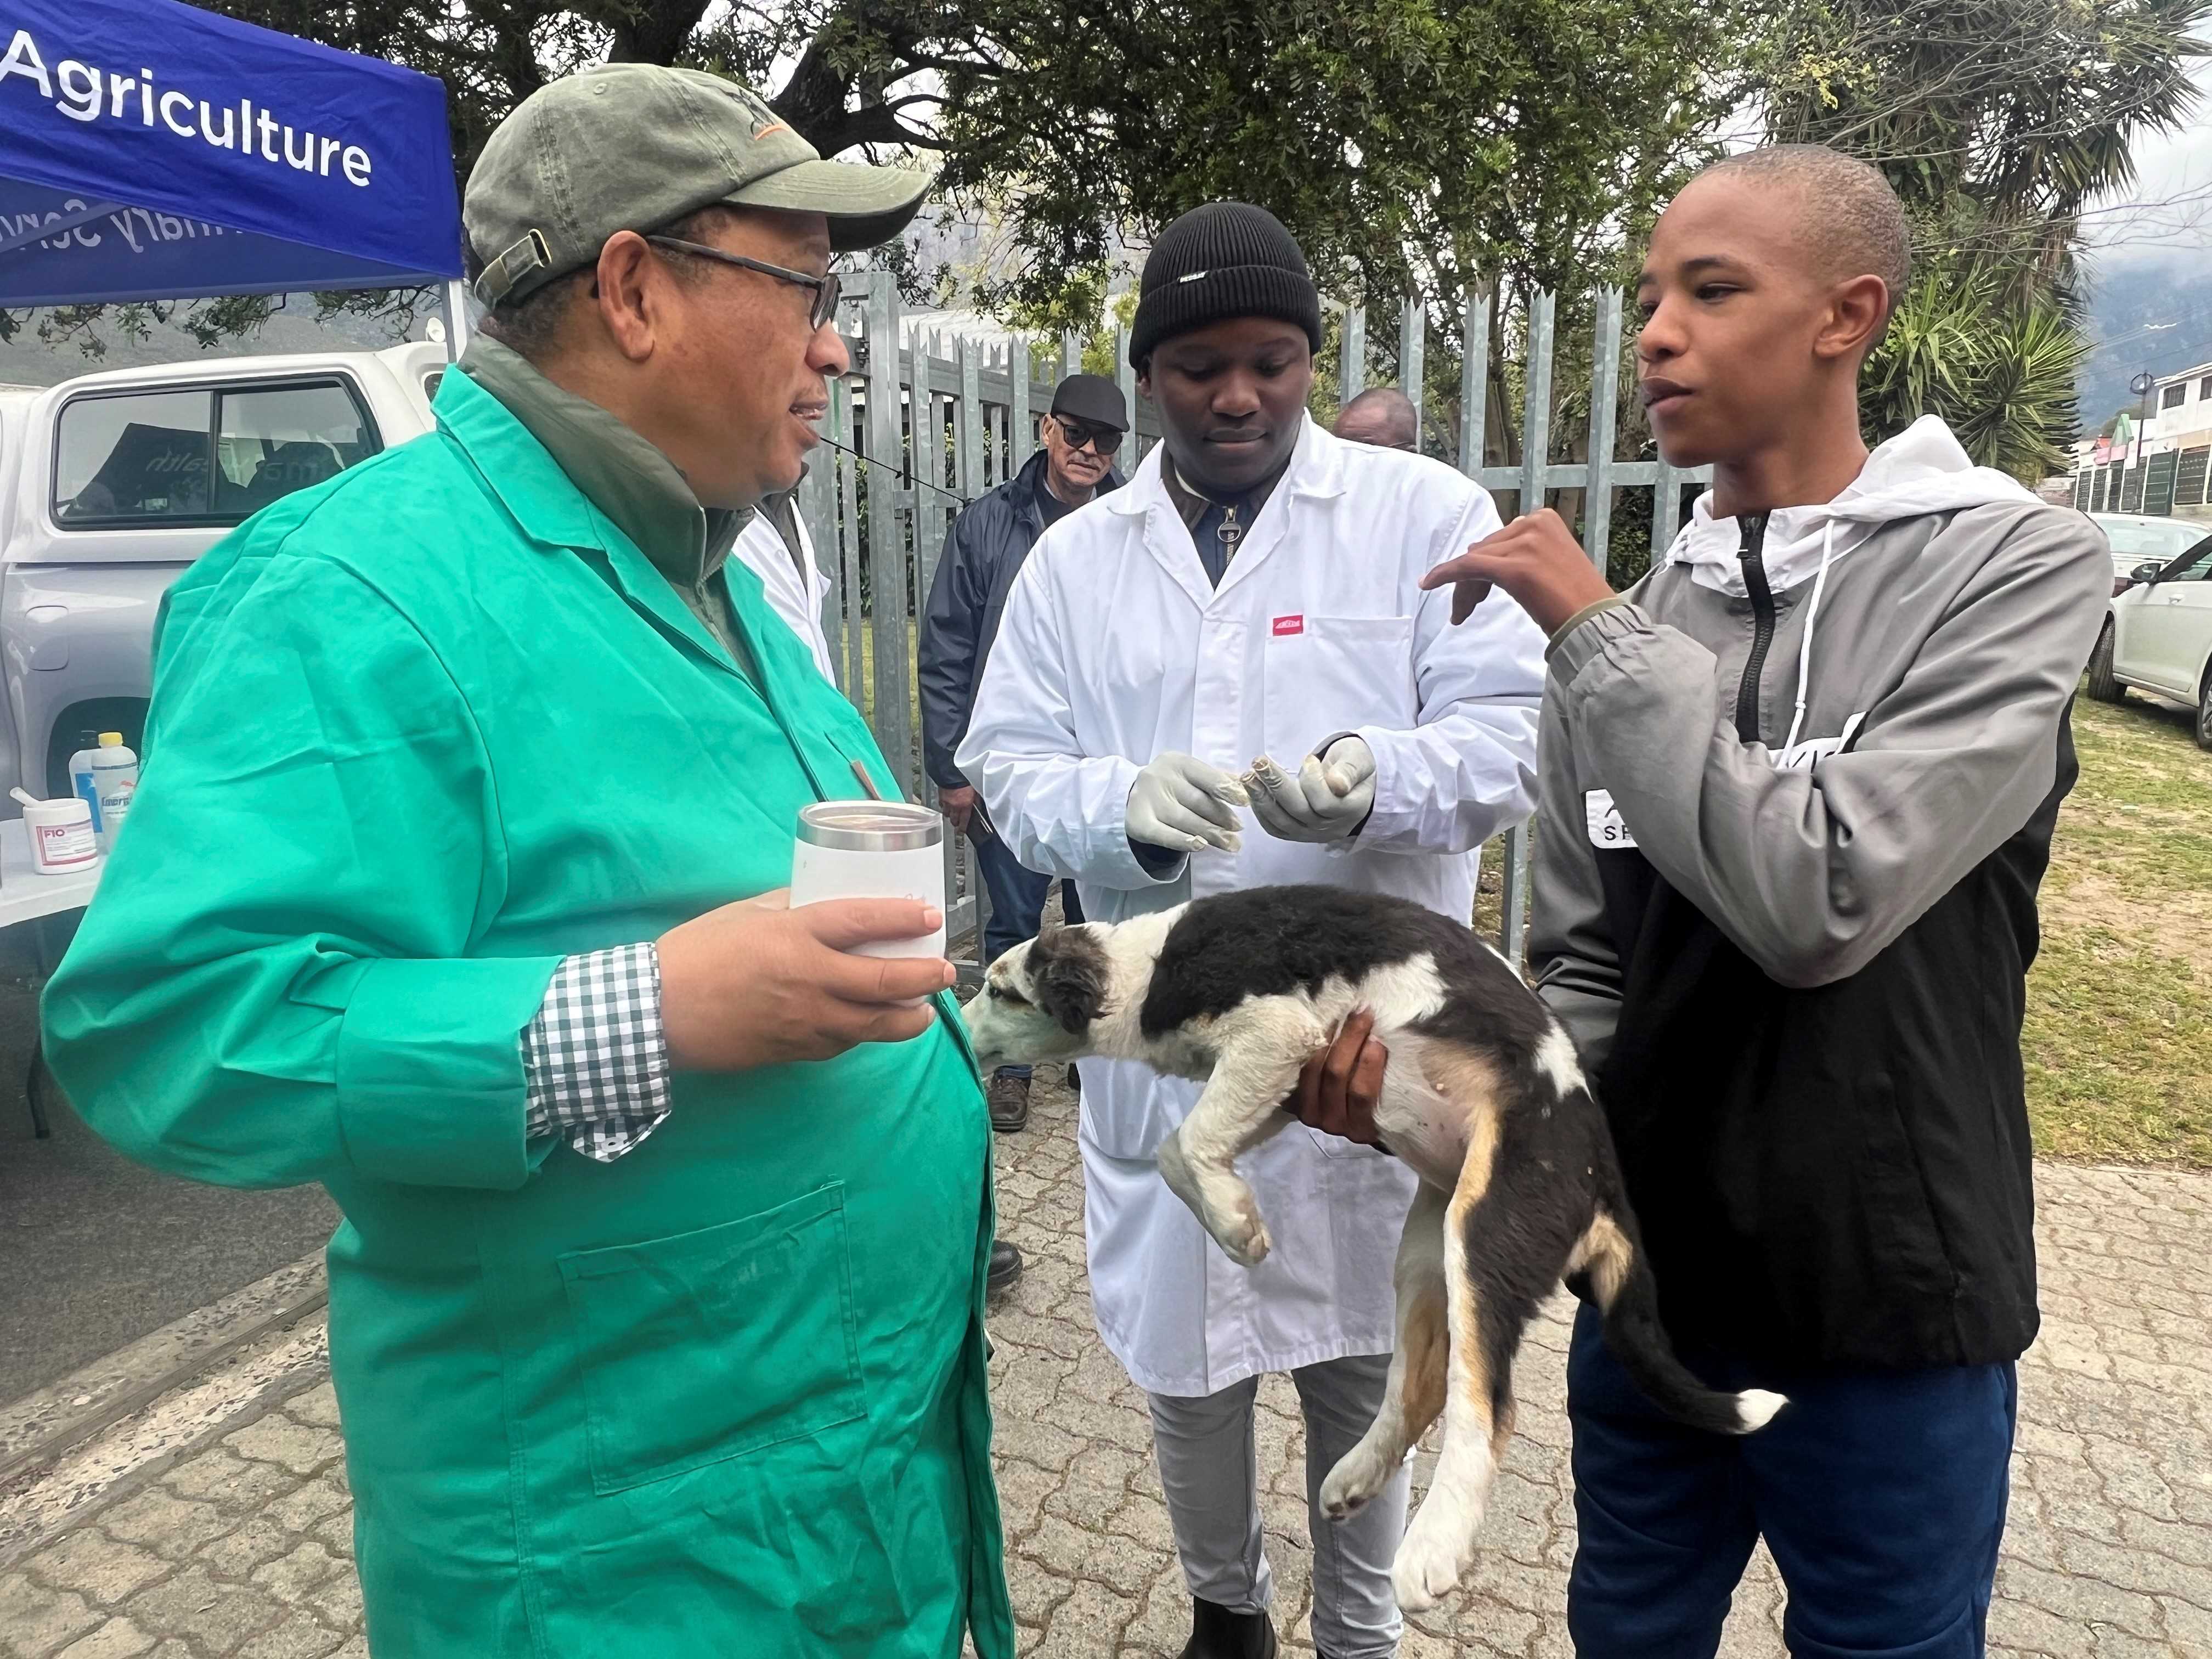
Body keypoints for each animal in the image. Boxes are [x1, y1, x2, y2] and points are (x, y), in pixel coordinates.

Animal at [960, 889, 1787, 1619]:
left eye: (1003, 992)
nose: (957, 1025)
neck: (1149, 966)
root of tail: (1599, 1172)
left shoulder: (1275, 1032)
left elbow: (1186, 1142)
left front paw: (1236, 1228)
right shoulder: (1282, 1082)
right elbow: (1180, 1148)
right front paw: (1235, 1215)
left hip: (1488, 1226)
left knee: (1487, 1405)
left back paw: (1433, 1547)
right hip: (1426, 1248)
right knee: (1420, 1388)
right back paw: (1355, 1476)